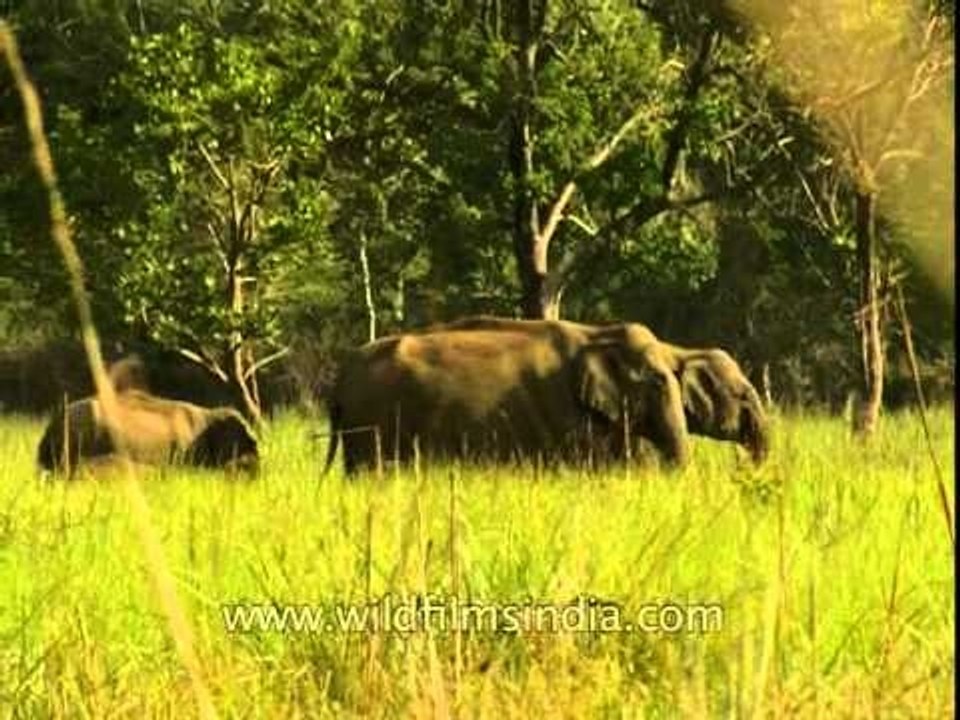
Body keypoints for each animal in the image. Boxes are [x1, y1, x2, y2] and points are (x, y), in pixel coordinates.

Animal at [322, 317, 768, 475]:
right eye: (657, 382)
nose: (748, 469)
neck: (598, 333)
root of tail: (341, 378)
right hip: (373, 428)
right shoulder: (571, 417)